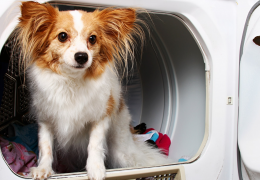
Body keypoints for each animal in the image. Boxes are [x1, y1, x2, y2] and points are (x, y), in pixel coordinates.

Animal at [13, 1, 169, 180]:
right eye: (62, 36)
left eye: (92, 39)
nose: (82, 56)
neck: (71, 81)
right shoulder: (46, 120)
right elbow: (45, 146)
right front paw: (43, 168)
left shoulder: (99, 118)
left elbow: (95, 145)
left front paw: (95, 168)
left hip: (121, 151)